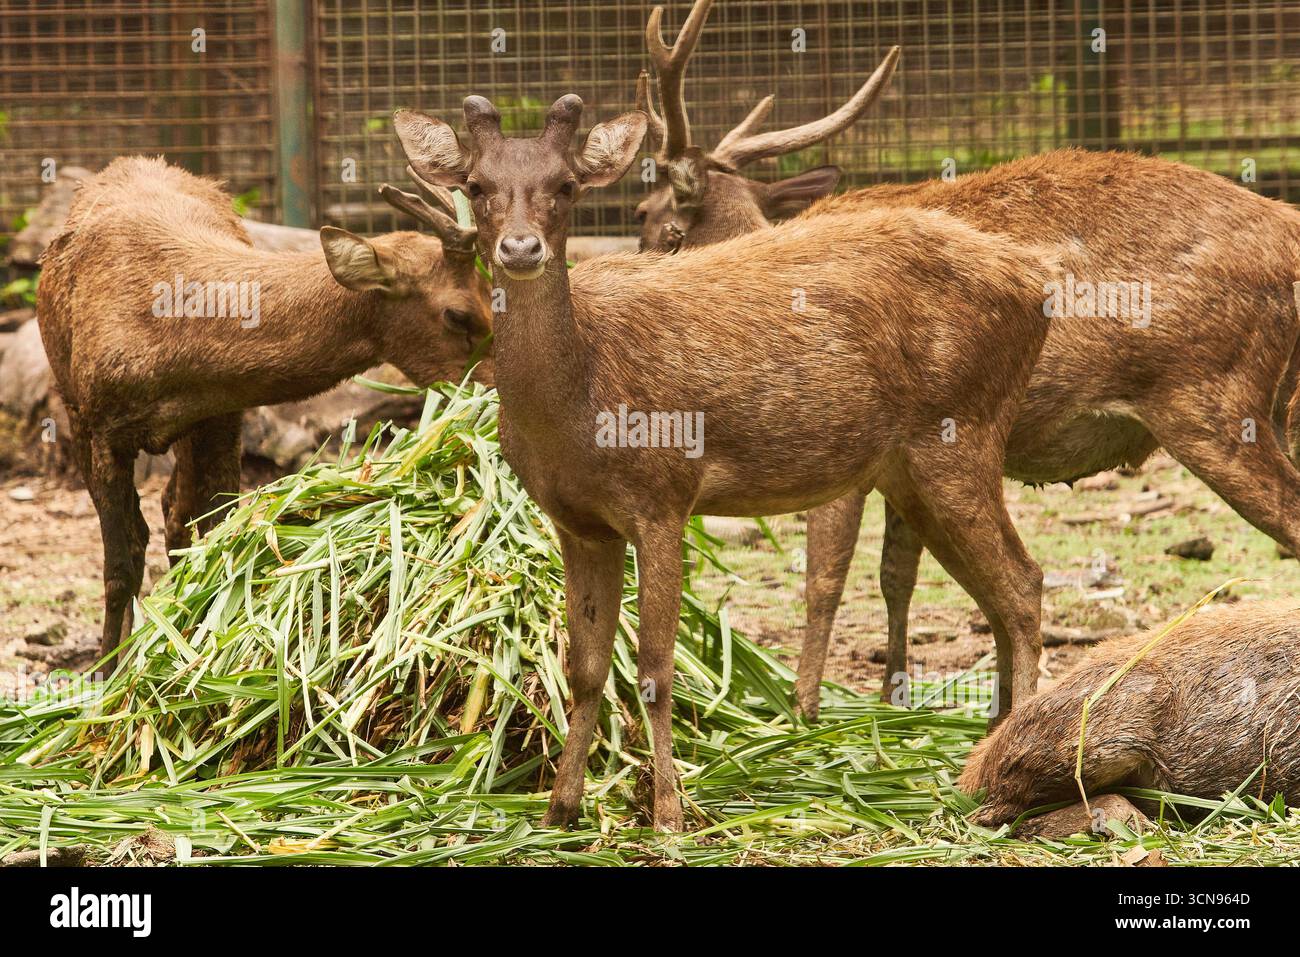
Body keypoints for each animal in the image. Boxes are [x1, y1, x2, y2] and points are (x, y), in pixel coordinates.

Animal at [37, 156, 492, 664]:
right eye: (458, 315)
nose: (501, 391)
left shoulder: (220, 417)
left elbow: (211, 536)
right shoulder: (97, 423)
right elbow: (120, 565)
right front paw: (106, 671)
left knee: (174, 513)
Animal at [393, 93, 1064, 830]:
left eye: (566, 185)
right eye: (476, 185)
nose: (519, 248)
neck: (577, 408)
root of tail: (1039, 280)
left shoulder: (663, 495)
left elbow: (654, 668)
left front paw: (668, 811)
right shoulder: (578, 523)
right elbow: (586, 668)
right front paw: (559, 810)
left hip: (964, 430)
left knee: (1024, 584)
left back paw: (1002, 768)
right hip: (912, 469)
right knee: (996, 594)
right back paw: (984, 744)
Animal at [634, 0, 1300, 722]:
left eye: (660, 223)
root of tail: (1290, 233)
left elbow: (824, 577)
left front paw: (801, 712)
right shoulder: (897, 466)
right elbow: (896, 573)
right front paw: (896, 699)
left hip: (1212, 399)